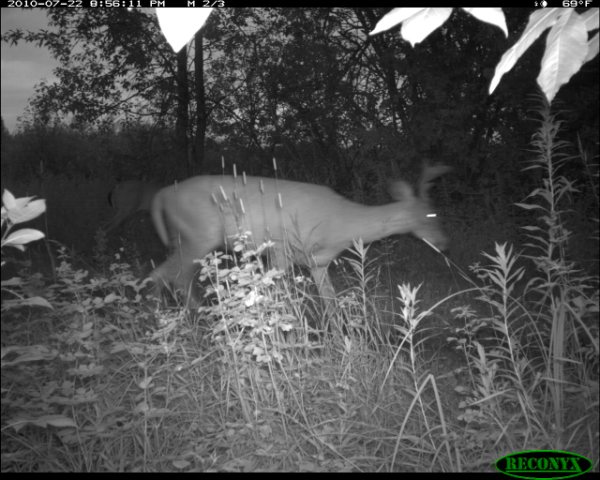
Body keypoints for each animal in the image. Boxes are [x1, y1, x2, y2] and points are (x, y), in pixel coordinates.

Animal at [149, 165, 450, 309]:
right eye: (431, 215)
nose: (444, 243)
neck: (343, 224)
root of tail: (160, 195)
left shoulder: (318, 261)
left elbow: (330, 302)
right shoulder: (282, 248)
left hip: (187, 239)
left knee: (171, 276)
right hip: (198, 236)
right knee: (166, 275)